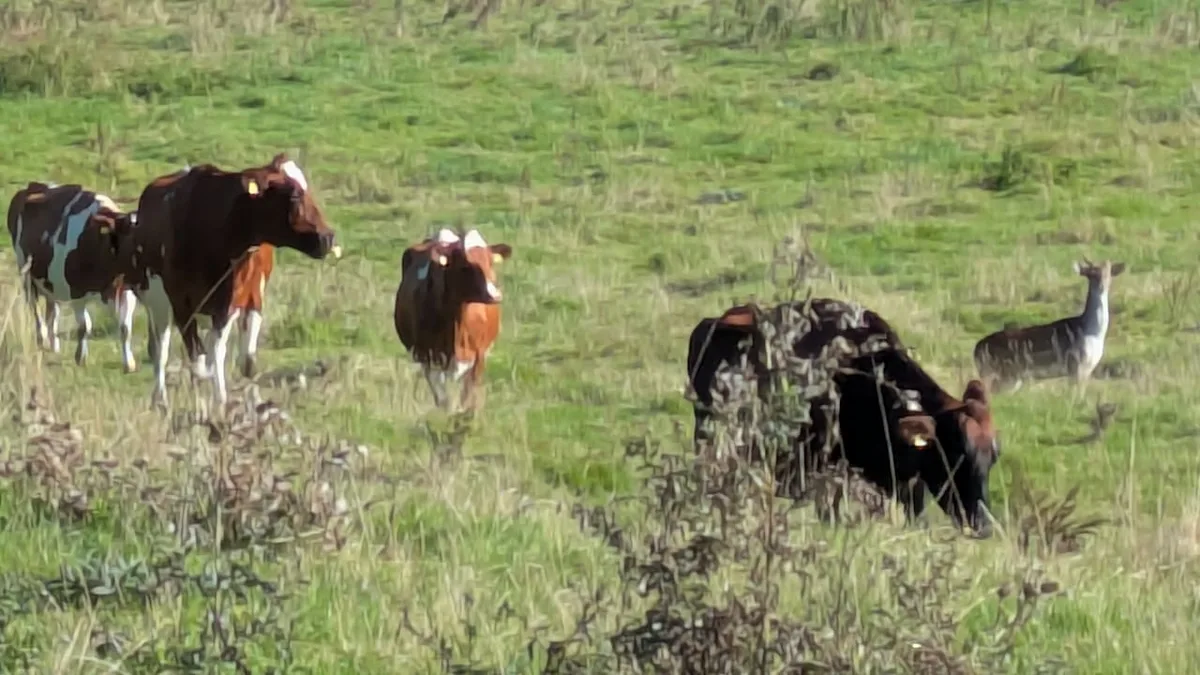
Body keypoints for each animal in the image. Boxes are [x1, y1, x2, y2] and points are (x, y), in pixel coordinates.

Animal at [6, 182, 139, 372]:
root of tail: (33, 186)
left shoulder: (126, 290)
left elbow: (125, 327)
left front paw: (129, 363)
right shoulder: (76, 291)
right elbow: (85, 326)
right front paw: (80, 357)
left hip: (51, 281)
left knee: (52, 308)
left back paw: (54, 344)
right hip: (26, 275)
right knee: (35, 308)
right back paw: (42, 339)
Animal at [110, 153, 340, 410]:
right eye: (294, 195)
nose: (328, 237)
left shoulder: (233, 300)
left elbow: (229, 355)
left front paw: (226, 398)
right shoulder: (182, 305)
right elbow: (200, 359)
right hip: (158, 302)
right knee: (161, 348)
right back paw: (160, 397)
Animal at [393, 227, 513, 411]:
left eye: (490, 262)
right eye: (465, 265)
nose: (495, 295)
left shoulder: (479, 357)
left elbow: (467, 396)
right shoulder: (430, 357)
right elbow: (443, 399)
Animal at [973, 258, 1126, 394]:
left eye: (1108, 273)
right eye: (1090, 274)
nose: (1102, 286)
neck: (1092, 333)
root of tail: (976, 350)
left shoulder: (1087, 369)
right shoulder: (1076, 365)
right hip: (999, 374)